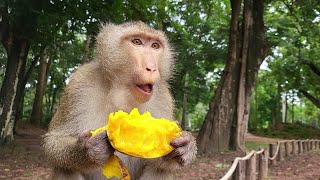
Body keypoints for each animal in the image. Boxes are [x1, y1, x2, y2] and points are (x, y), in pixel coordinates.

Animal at [42, 21, 198, 180]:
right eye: (137, 42)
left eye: (155, 46)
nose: (151, 68)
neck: (123, 95)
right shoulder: (79, 85)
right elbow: (54, 142)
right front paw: (87, 150)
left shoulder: (163, 97)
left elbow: (160, 163)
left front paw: (187, 146)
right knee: (65, 169)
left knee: (160, 171)